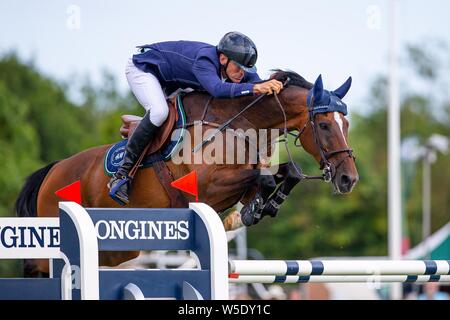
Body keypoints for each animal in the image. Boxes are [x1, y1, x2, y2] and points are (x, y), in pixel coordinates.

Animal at [14, 70, 358, 276]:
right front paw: (253, 210)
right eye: (324, 125)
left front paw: (258, 209)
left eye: (346, 124)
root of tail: (53, 171)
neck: (238, 124)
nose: (349, 179)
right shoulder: (206, 188)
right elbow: (262, 177)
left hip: (119, 250)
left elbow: (285, 175)